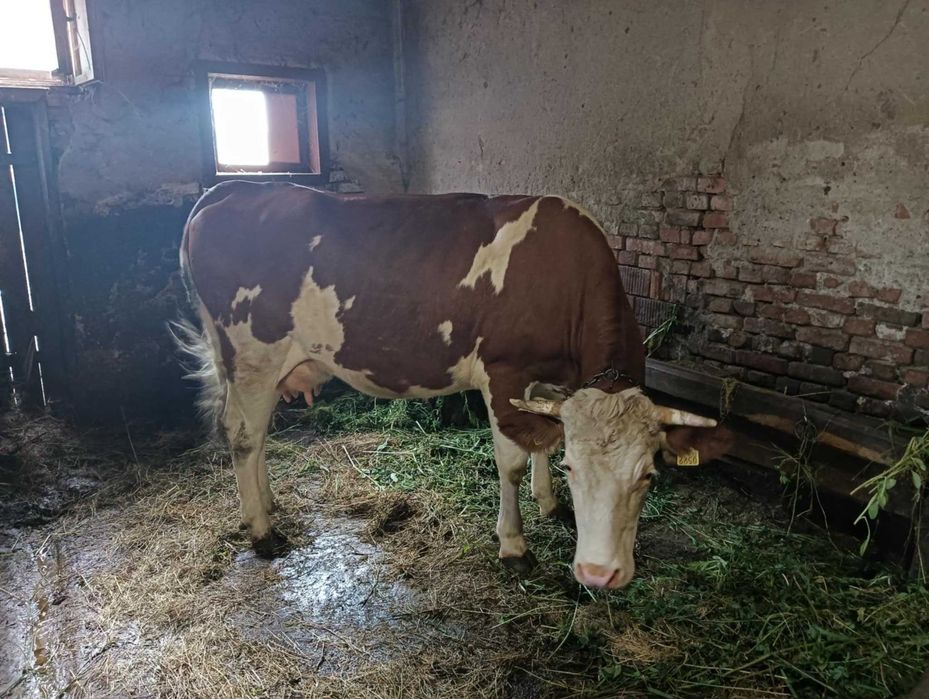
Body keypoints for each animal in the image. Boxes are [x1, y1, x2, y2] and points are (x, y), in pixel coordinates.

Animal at [177, 180, 731, 590]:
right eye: (577, 470)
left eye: (649, 476)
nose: (600, 574)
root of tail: (235, 188)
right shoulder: (503, 372)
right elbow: (511, 461)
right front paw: (514, 545)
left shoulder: (552, 382)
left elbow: (544, 439)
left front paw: (549, 503)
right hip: (253, 355)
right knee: (244, 436)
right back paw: (262, 531)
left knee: (257, 435)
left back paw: (269, 504)